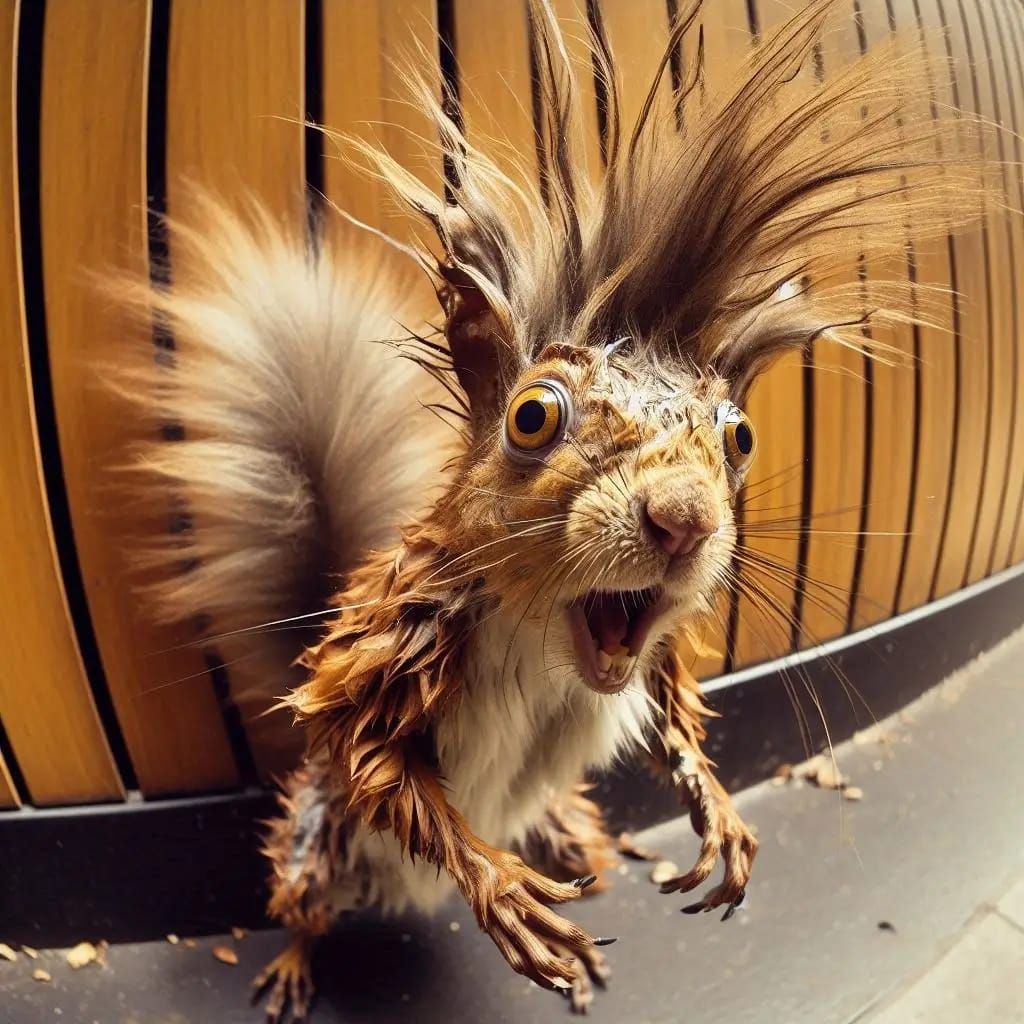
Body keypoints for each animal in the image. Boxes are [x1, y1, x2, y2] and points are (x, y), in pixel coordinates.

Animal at [119, 0, 989, 1019]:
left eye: (739, 435)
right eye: (531, 416)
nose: (683, 517)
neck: (547, 640)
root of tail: (399, 897)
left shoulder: (646, 666)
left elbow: (669, 713)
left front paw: (718, 811)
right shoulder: (403, 635)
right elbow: (371, 747)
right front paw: (499, 890)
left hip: (572, 827)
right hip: (315, 844)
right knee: (305, 904)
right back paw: (302, 962)